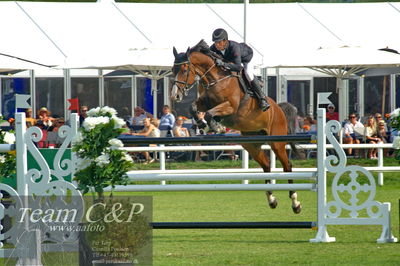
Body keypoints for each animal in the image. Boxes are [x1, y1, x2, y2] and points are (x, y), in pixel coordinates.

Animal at [170, 40, 302, 214]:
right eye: (173, 70)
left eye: (184, 70)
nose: (175, 96)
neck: (215, 79)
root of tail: (279, 108)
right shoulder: (204, 102)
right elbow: (193, 108)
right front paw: (204, 125)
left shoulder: (230, 106)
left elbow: (209, 113)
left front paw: (215, 127)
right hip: (251, 144)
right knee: (266, 165)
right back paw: (272, 200)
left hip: (277, 142)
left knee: (287, 166)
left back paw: (295, 203)